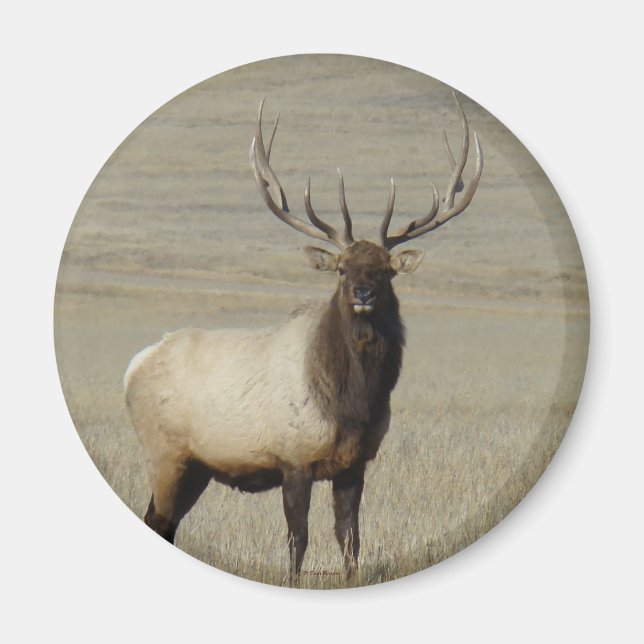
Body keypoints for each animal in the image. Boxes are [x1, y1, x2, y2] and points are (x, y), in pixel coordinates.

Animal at [124, 92, 483, 580]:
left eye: (386, 270)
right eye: (342, 269)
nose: (364, 292)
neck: (352, 405)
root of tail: (133, 367)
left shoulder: (355, 464)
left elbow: (350, 540)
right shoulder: (292, 458)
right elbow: (298, 543)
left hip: (194, 467)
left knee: (163, 523)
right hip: (162, 453)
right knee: (157, 518)